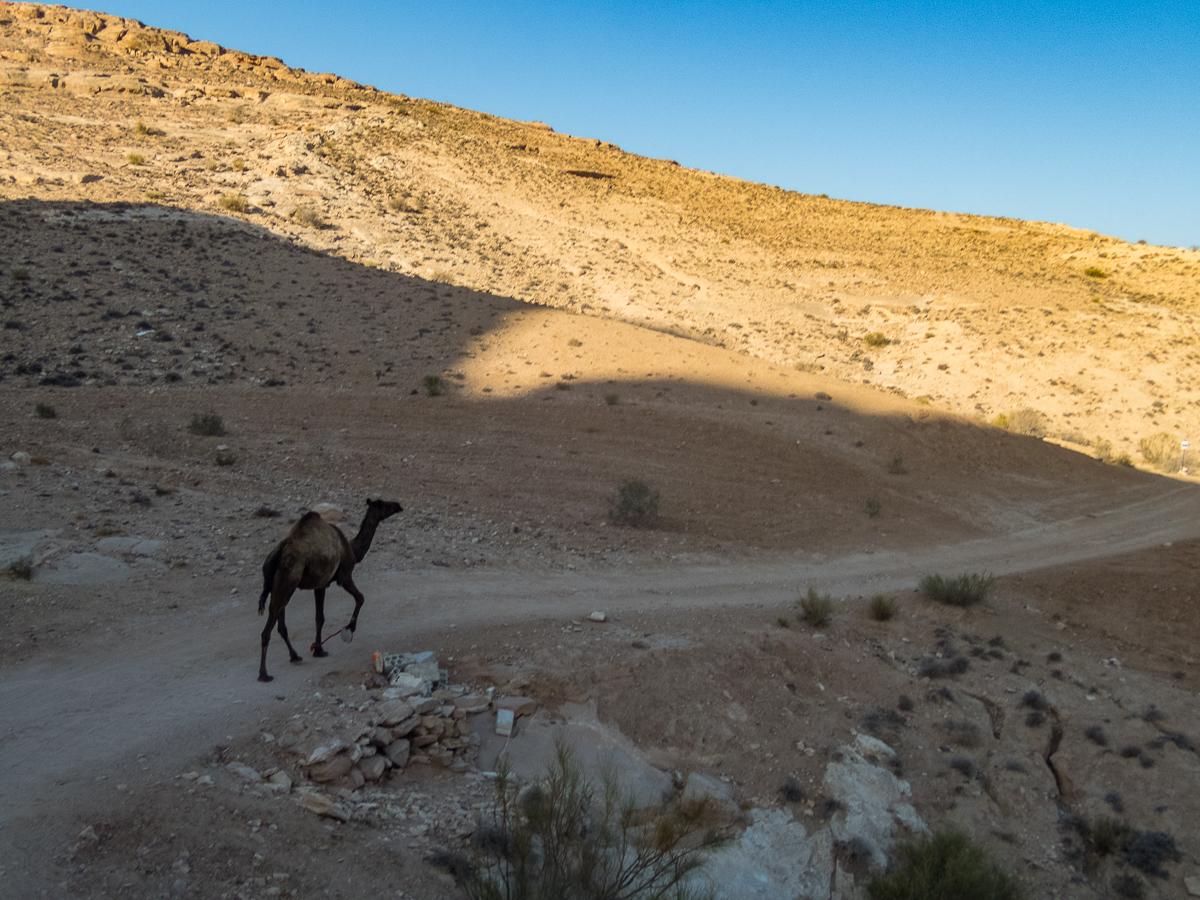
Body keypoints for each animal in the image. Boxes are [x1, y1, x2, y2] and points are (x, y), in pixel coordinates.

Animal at [258, 496, 403, 681]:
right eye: (385, 504)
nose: (398, 505)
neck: (352, 549)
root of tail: (277, 554)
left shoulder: (320, 584)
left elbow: (319, 618)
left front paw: (318, 650)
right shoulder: (344, 576)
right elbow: (360, 597)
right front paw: (349, 629)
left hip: (280, 585)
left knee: (280, 623)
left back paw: (295, 656)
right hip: (287, 580)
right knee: (267, 629)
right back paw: (264, 674)